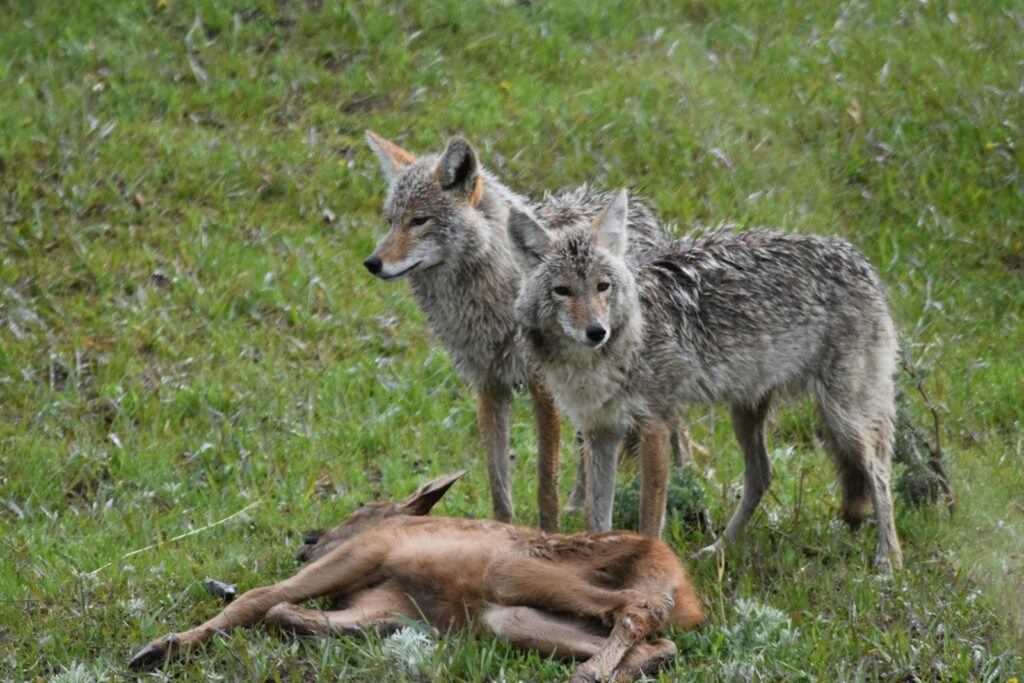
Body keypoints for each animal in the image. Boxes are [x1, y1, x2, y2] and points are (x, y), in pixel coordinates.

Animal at [128, 471, 704, 682]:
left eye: (362, 505)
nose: (308, 539)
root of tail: (683, 586)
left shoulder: (367, 551)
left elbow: (260, 599)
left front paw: (159, 647)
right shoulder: (384, 596)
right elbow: (291, 614)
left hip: (512, 568)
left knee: (639, 607)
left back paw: (588, 675)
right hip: (509, 617)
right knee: (660, 642)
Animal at [361, 132, 682, 531]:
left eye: (420, 220)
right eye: (391, 221)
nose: (372, 263)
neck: (488, 301)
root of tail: (639, 207)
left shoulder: (542, 390)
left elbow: (546, 483)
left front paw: (549, 533)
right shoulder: (489, 387)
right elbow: (498, 481)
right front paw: (501, 530)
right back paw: (579, 504)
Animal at [509, 190, 902, 571]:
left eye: (602, 287)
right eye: (563, 291)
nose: (596, 331)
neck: (600, 362)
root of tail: (858, 259)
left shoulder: (655, 425)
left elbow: (649, 518)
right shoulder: (599, 432)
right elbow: (596, 516)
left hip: (845, 419)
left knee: (881, 474)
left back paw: (888, 561)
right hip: (746, 415)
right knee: (762, 476)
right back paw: (719, 550)